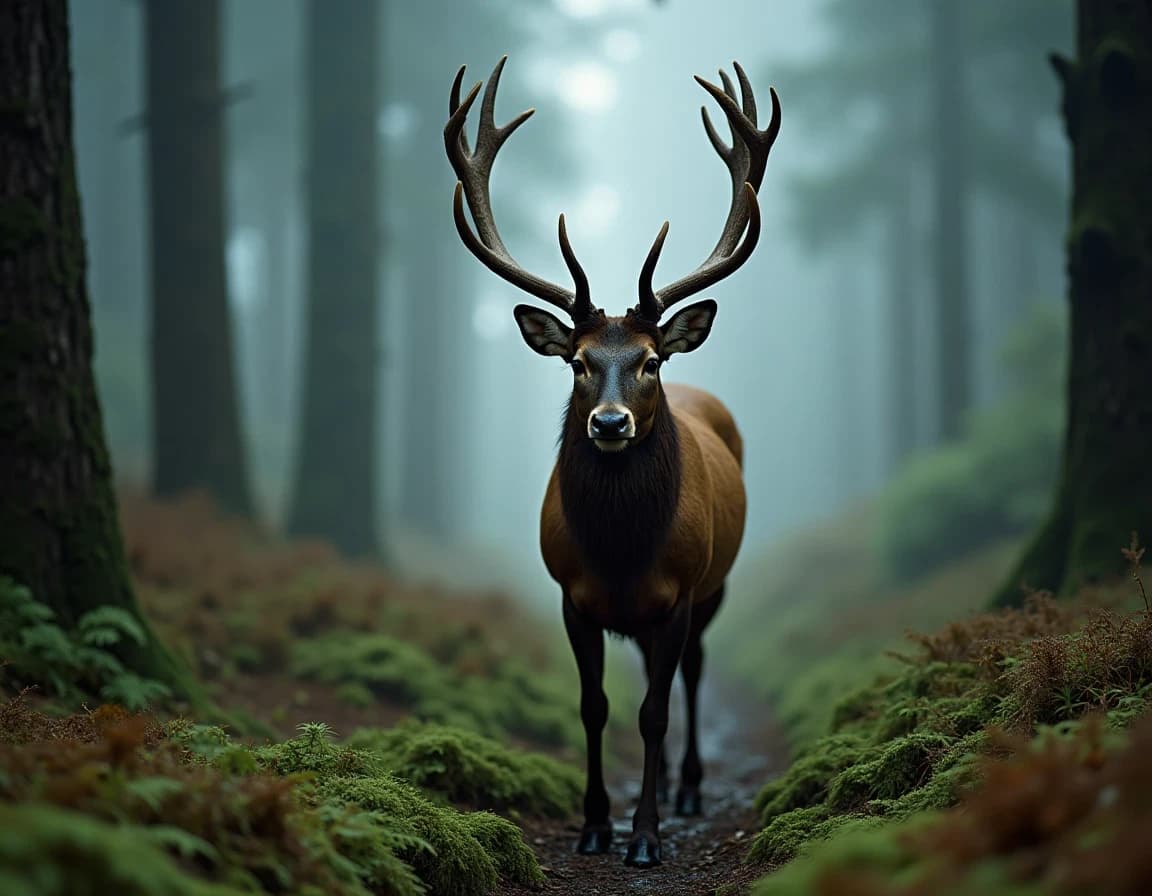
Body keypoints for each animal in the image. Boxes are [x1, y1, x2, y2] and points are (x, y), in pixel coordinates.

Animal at [444, 56, 780, 868]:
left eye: (650, 360)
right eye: (578, 362)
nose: (609, 422)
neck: (623, 553)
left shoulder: (680, 593)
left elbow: (654, 712)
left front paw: (647, 836)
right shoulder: (572, 594)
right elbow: (593, 707)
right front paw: (596, 825)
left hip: (716, 583)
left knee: (695, 674)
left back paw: (689, 789)